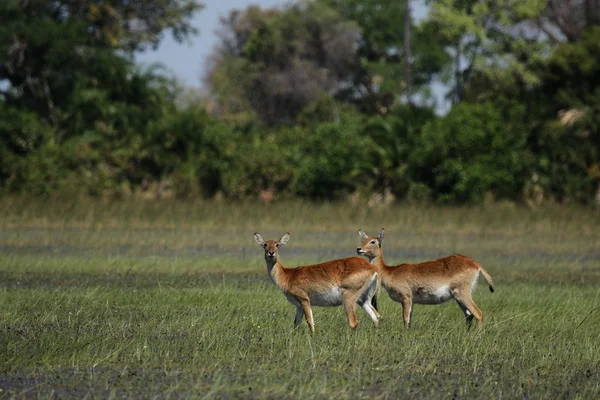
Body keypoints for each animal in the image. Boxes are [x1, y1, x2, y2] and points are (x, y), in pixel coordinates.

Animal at [356, 228, 492, 328]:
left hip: (462, 294)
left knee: (478, 314)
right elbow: (409, 320)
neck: (390, 271)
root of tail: (475, 264)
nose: (359, 249)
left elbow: (405, 319)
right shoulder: (411, 301)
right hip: (458, 297)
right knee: (469, 316)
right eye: (363, 239)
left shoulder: (406, 297)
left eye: (373, 241)